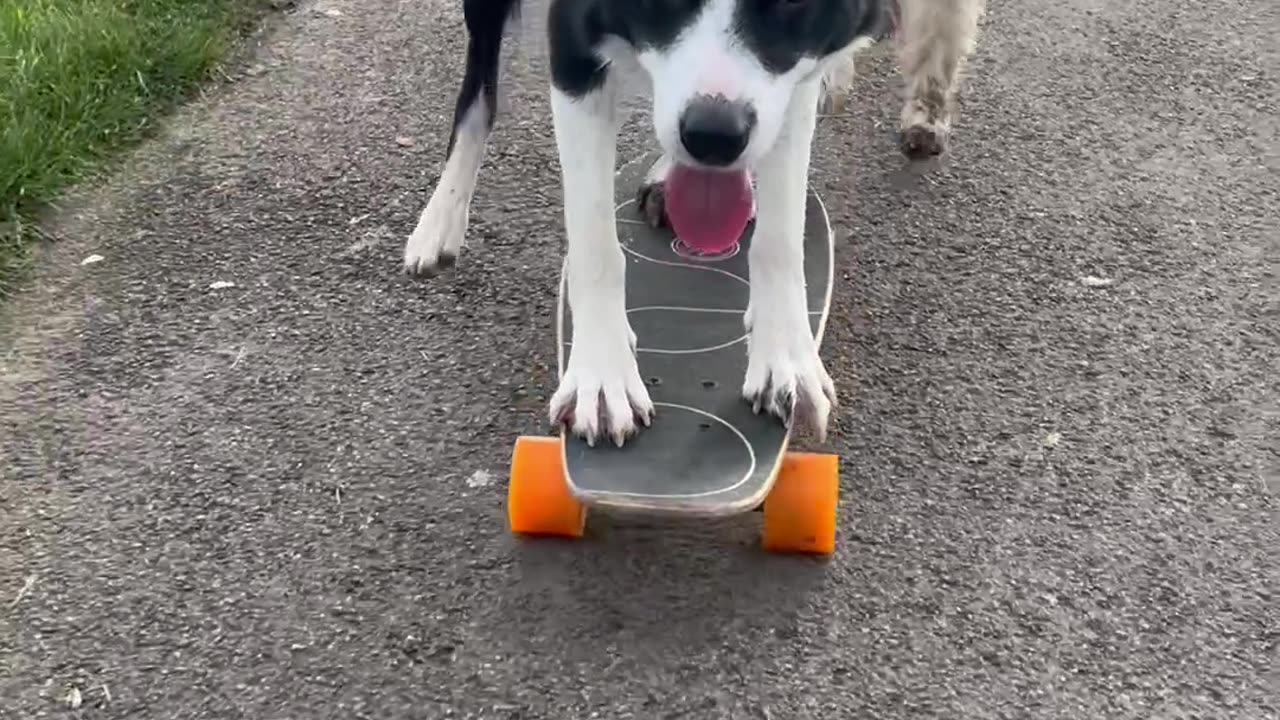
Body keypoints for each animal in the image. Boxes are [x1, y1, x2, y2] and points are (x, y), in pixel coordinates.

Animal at [404, 0, 983, 445]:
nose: (714, 137)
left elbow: (780, 235)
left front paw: (785, 358)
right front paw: (602, 376)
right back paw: (440, 220)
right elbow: (594, 242)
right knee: (478, 91)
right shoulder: (573, 46)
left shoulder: (796, 71)